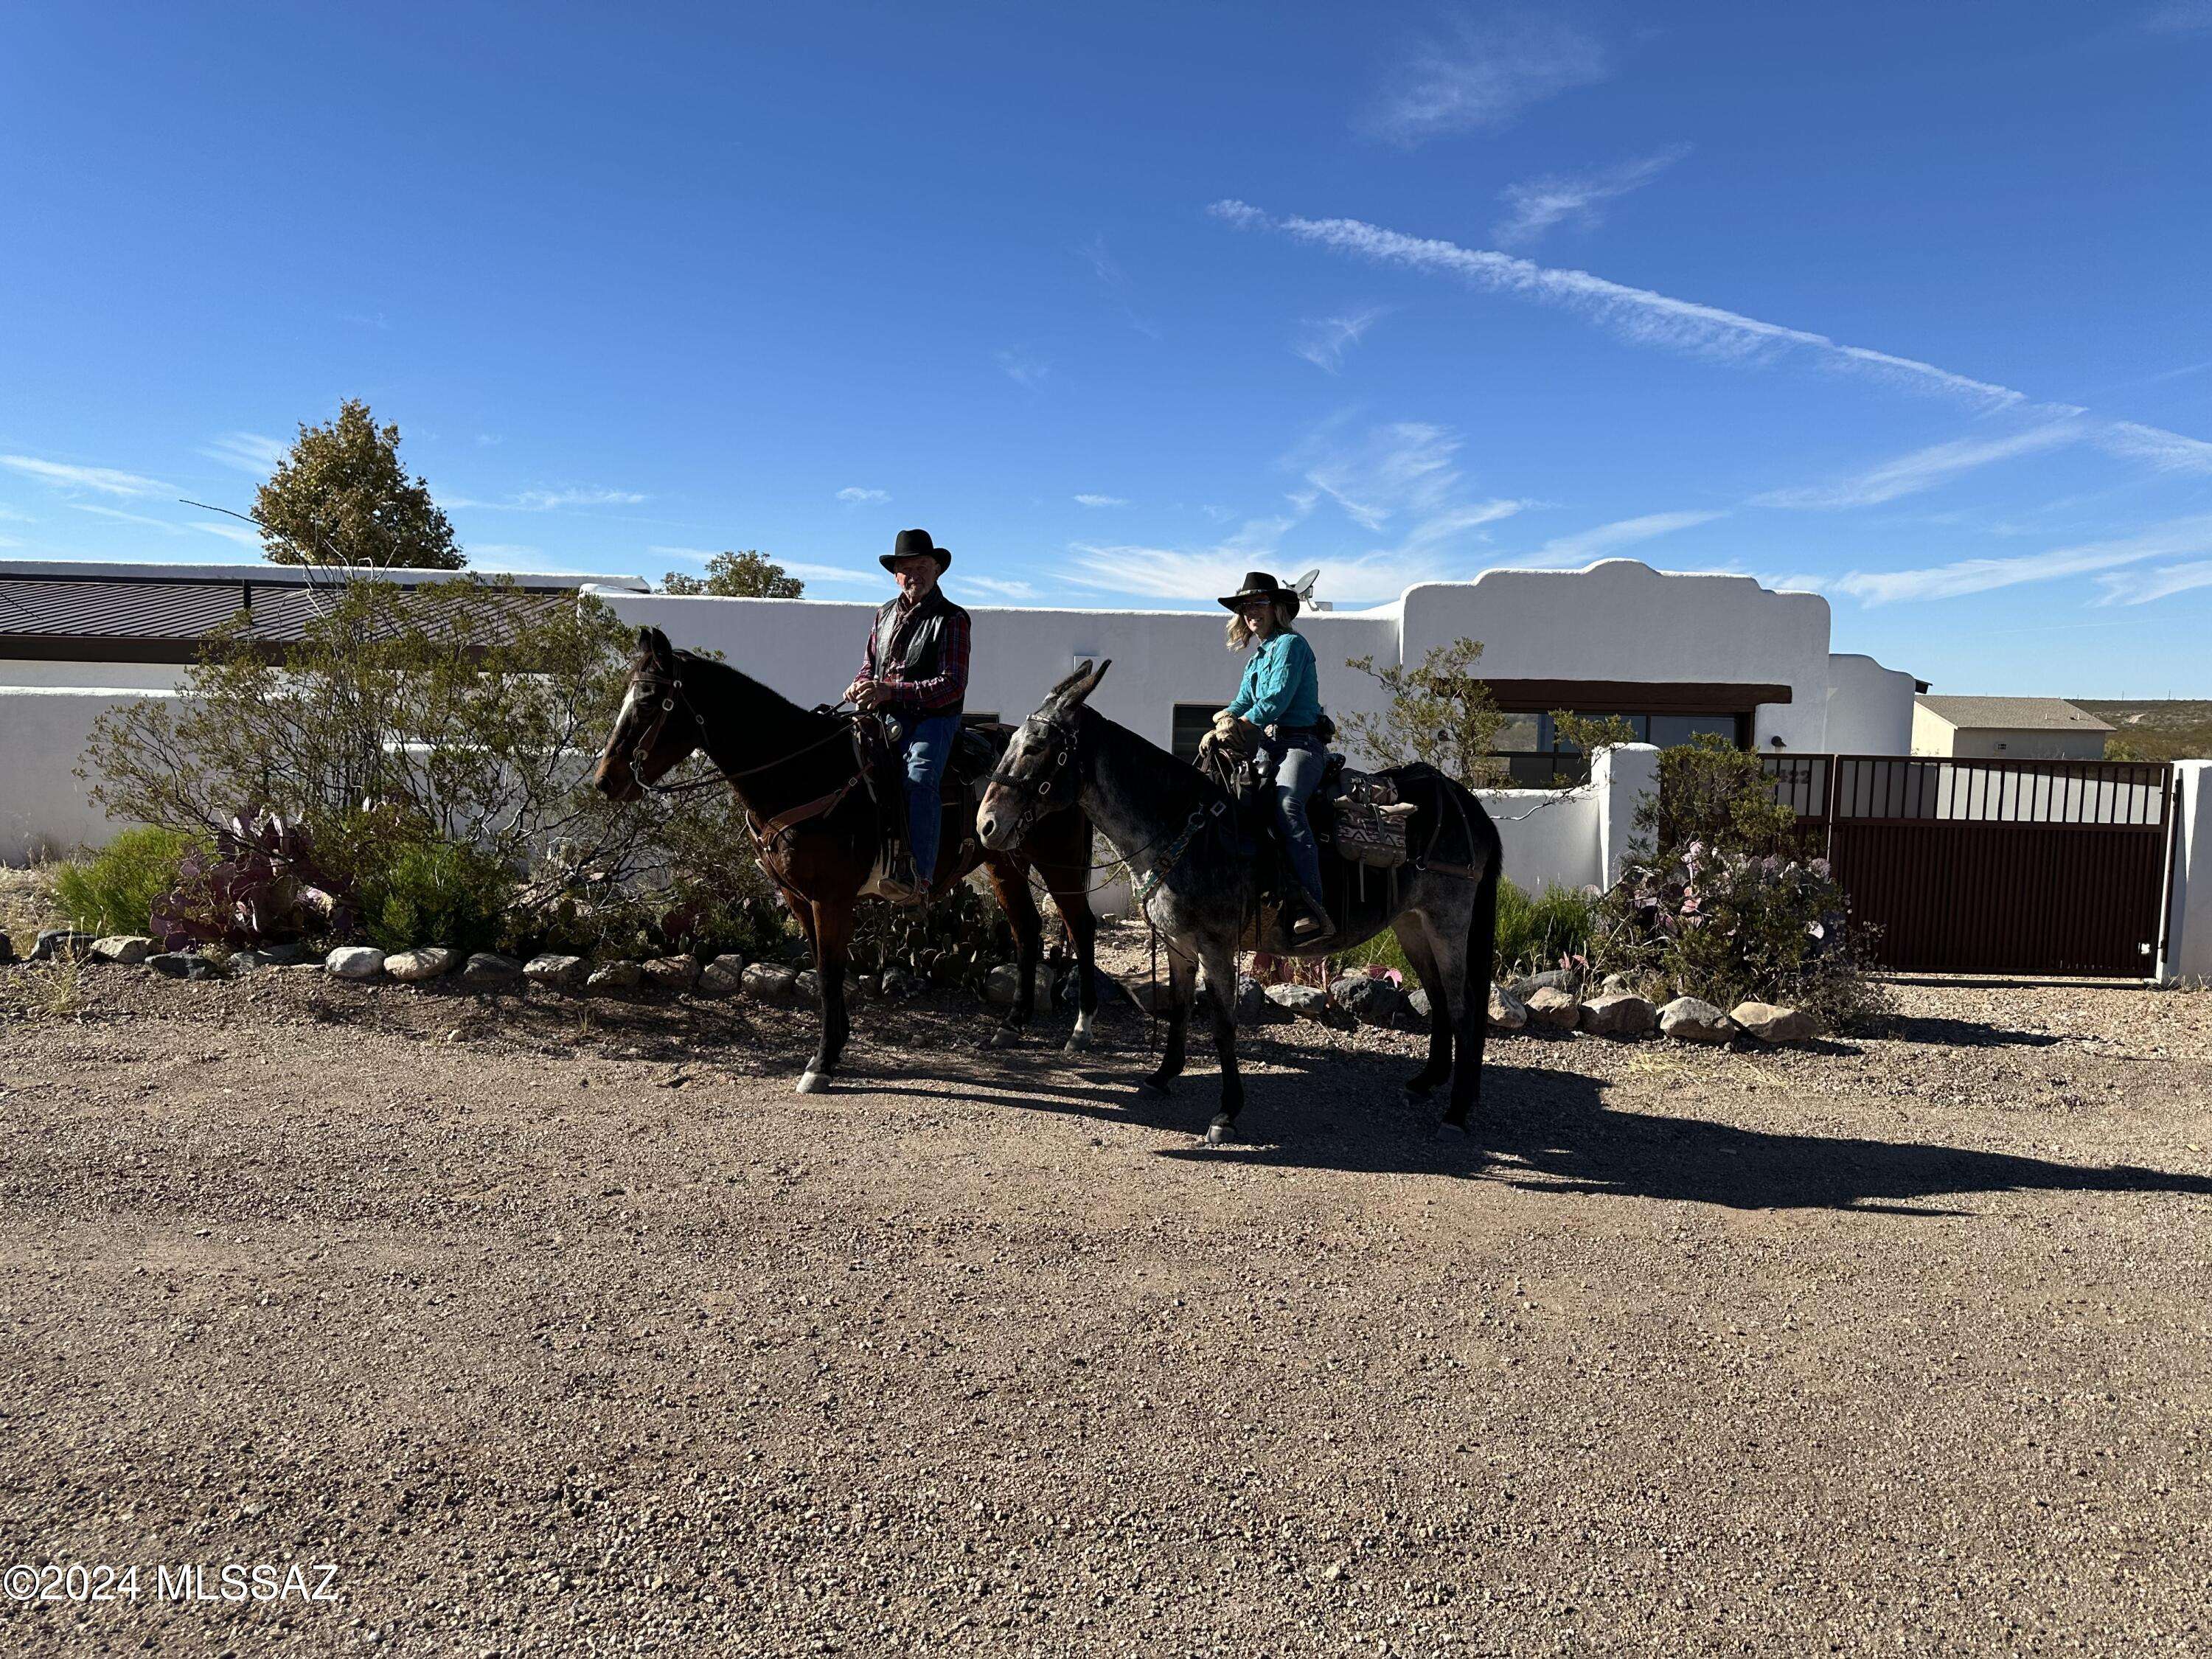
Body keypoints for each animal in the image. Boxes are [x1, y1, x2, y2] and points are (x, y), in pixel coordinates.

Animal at [593, 628, 1102, 1093]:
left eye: (648, 702)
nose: (605, 781)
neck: (803, 773)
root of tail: (1069, 762)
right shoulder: (797, 898)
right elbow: (824, 970)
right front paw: (834, 1048)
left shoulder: (831, 898)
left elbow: (829, 974)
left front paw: (820, 1063)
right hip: (1005, 863)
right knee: (1027, 930)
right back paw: (1012, 1025)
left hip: (1059, 863)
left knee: (1079, 925)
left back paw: (1080, 1029)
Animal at [982, 664, 1504, 1141]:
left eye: (1036, 747)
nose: (987, 824)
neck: (1185, 827)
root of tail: (1467, 804)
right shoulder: (1178, 942)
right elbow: (1179, 1008)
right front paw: (1162, 1076)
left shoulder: (1216, 945)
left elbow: (1223, 1025)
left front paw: (1226, 1112)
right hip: (1413, 924)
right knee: (1440, 999)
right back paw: (1426, 1082)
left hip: (1448, 923)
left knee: (1463, 1006)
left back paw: (1456, 1111)